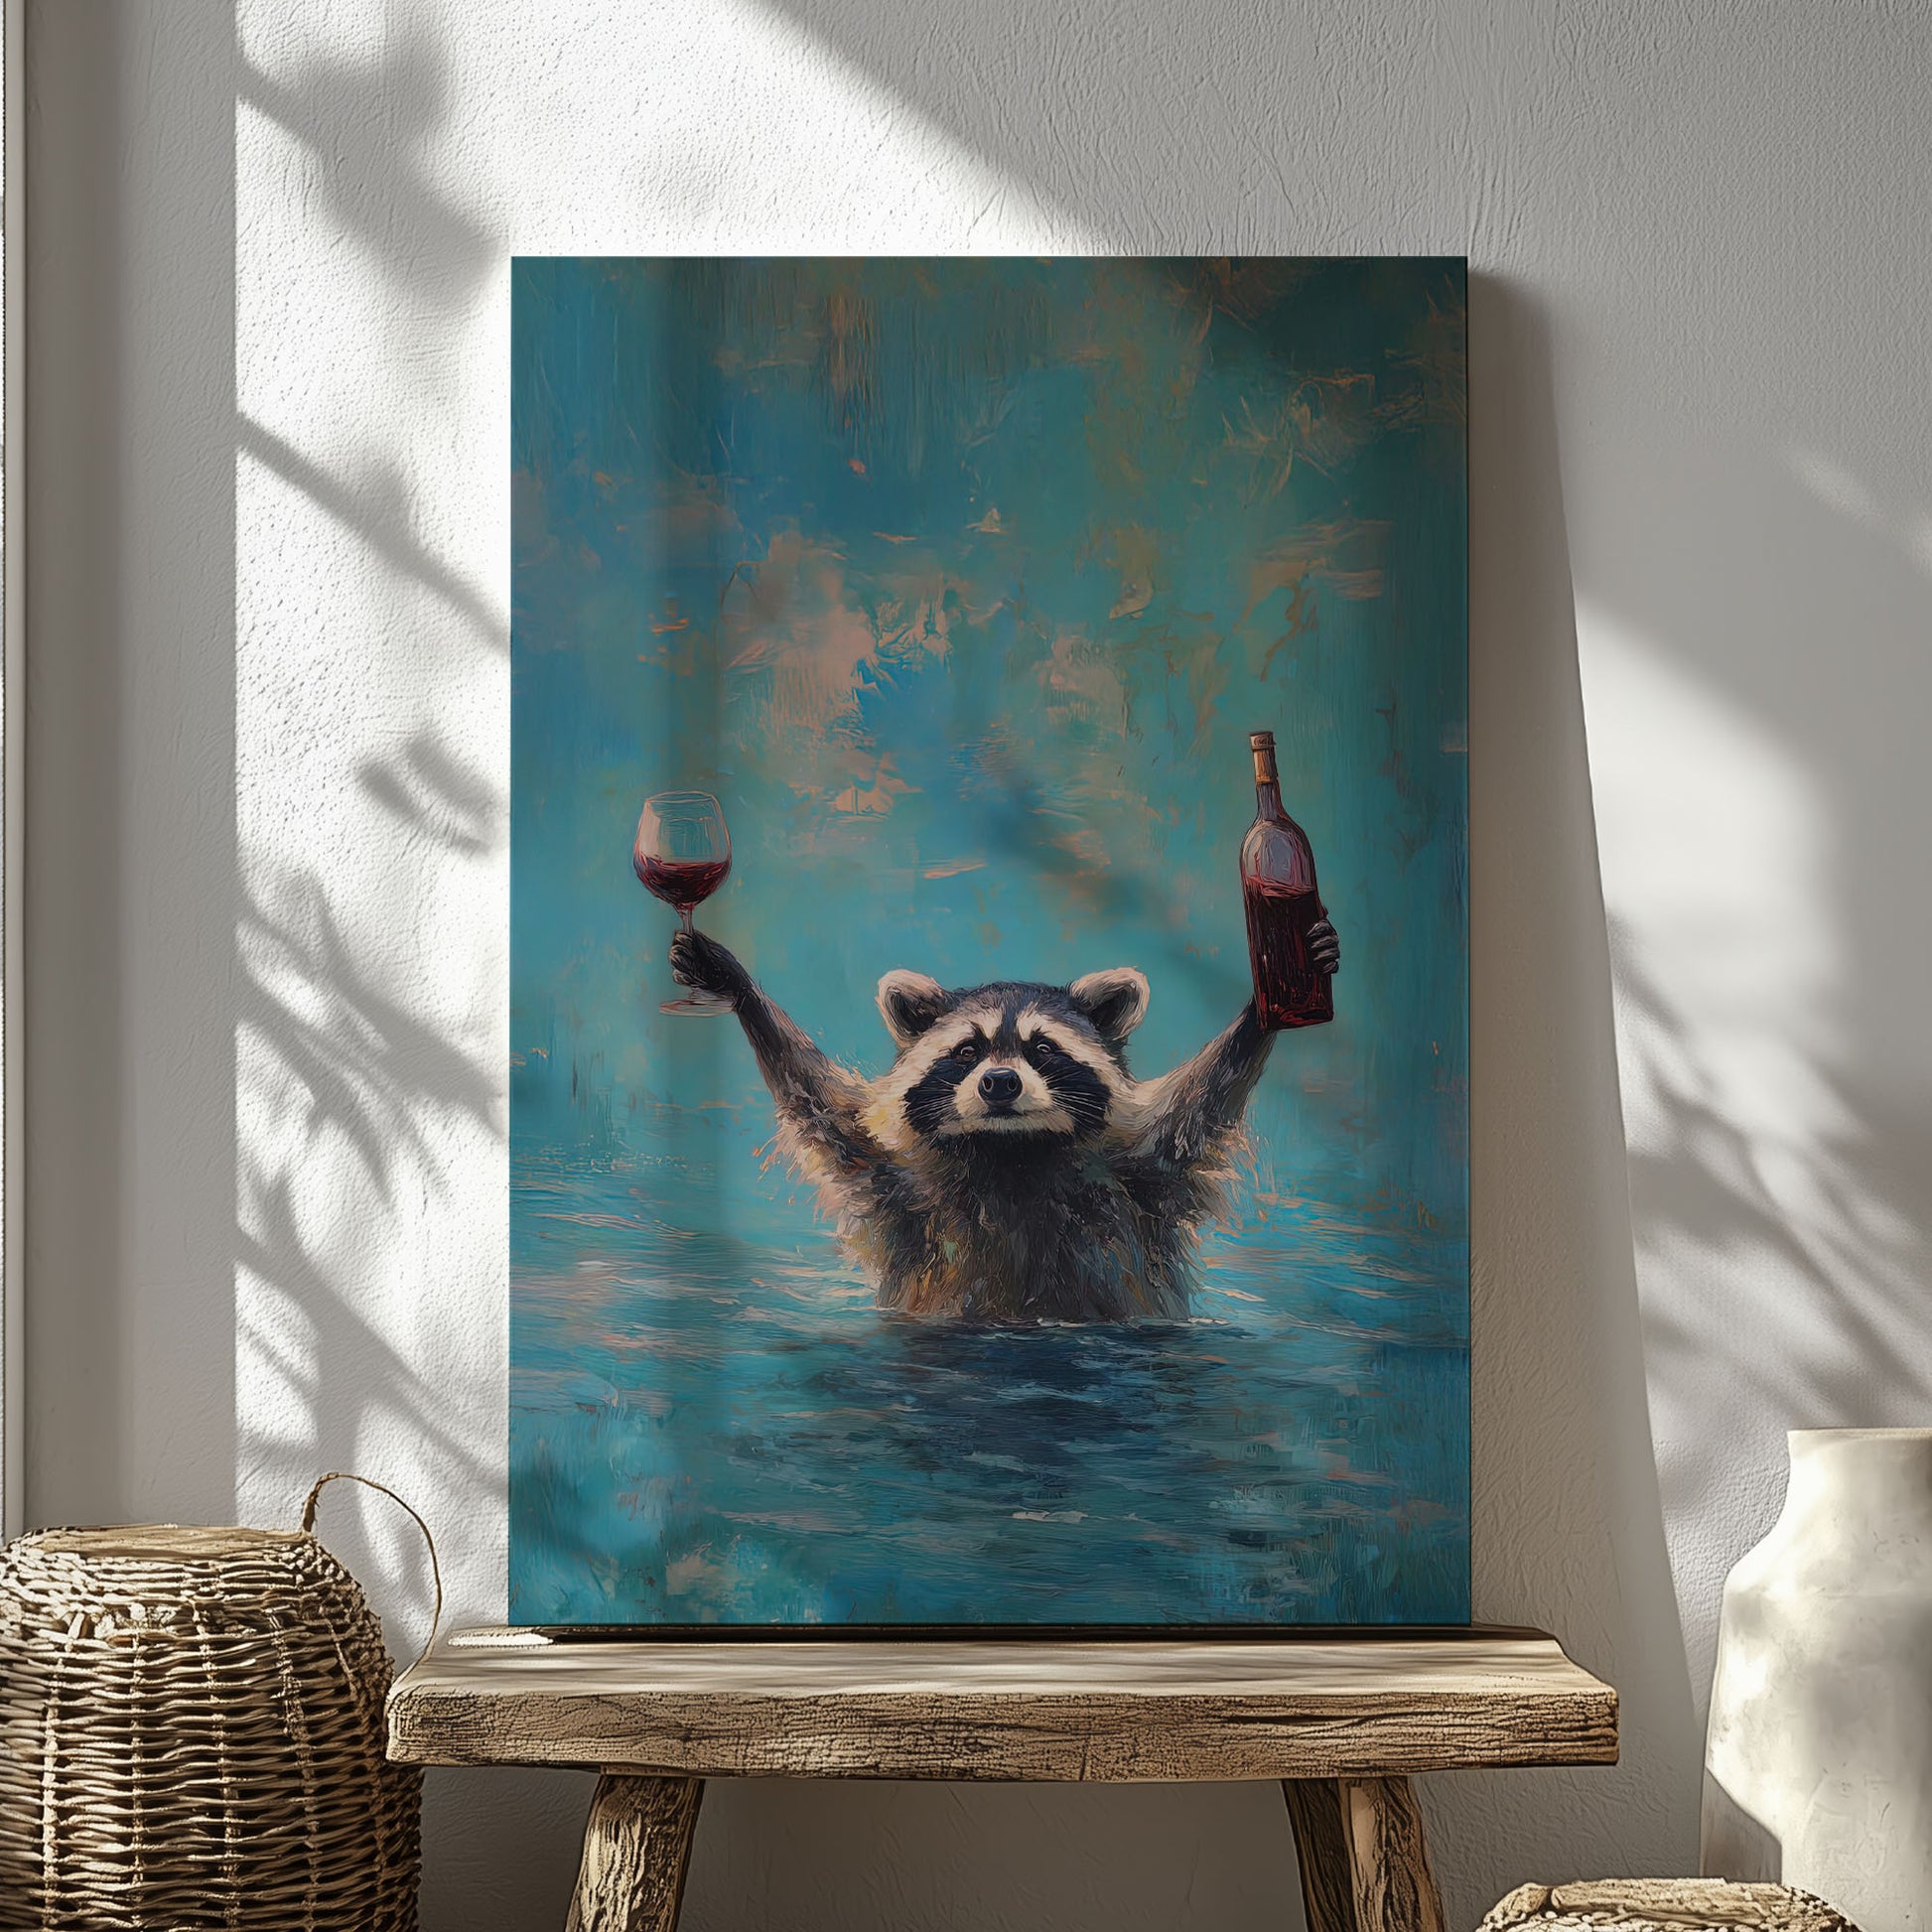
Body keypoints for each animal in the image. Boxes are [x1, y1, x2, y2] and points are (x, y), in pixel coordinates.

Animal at [668, 921, 1340, 1323]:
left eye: (1043, 1049)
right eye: (967, 1051)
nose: (999, 1083)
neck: (1012, 1151)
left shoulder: (1147, 1175)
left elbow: (1202, 1105)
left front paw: (1267, 1004)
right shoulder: (893, 1181)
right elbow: (820, 1105)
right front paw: (740, 989)